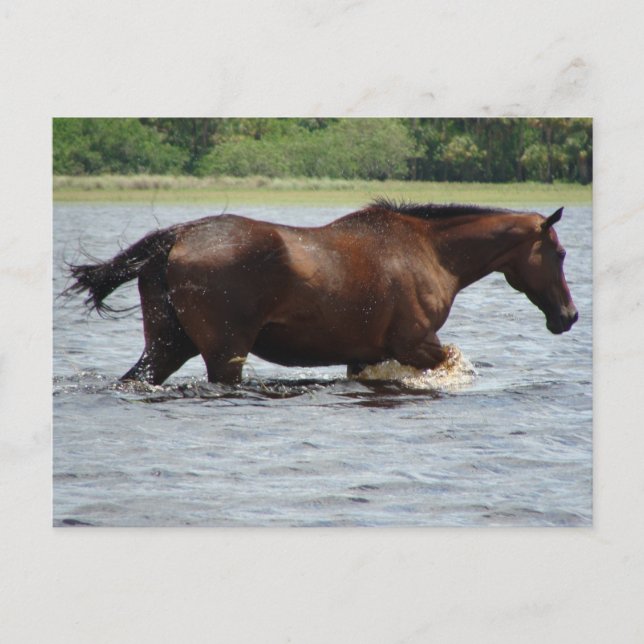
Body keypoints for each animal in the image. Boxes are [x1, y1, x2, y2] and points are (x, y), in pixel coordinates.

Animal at [65, 199, 578, 385]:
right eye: (559, 252)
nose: (569, 316)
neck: (433, 254)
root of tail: (177, 238)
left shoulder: (367, 354)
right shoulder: (415, 344)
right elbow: (457, 364)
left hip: (168, 345)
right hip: (224, 353)